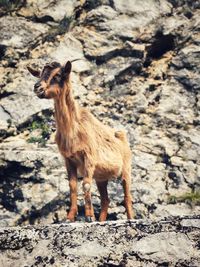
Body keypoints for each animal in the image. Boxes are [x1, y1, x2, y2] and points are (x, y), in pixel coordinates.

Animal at [27, 61, 134, 223]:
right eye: (40, 74)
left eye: (58, 75)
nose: (37, 87)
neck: (73, 130)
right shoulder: (68, 159)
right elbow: (72, 186)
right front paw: (70, 217)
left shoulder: (89, 157)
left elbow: (86, 185)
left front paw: (89, 216)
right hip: (101, 178)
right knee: (105, 199)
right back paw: (100, 220)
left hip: (126, 169)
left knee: (127, 195)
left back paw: (130, 218)